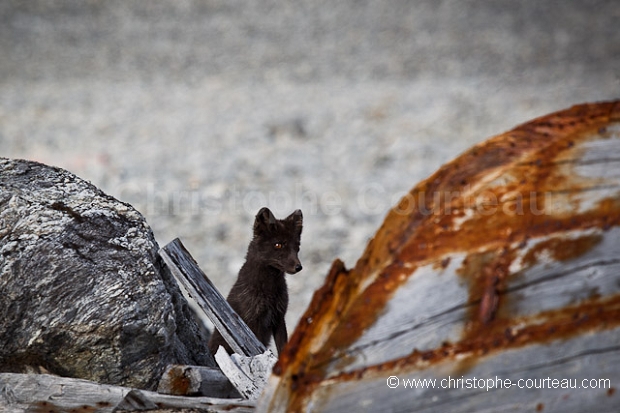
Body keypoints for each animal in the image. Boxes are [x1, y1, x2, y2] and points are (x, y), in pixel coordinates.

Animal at [208, 206, 302, 354]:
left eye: (297, 247)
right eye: (278, 245)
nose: (298, 267)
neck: (269, 291)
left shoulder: (279, 317)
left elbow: (282, 346)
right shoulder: (253, 320)